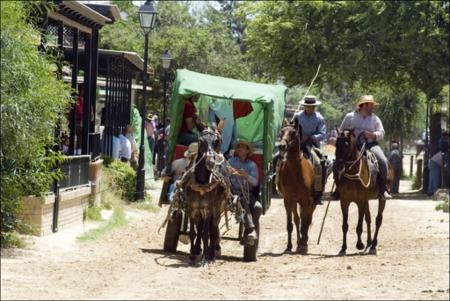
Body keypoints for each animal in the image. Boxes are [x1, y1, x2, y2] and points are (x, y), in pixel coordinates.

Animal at [278, 118, 316, 253]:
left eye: (294, 132)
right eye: (282, 131)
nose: (281, 146)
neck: (295, 172)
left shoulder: (305, 200)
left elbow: (305, 221)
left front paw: (304, 244)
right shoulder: (287, 199)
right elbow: (291, 224)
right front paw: (289, 246)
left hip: (310, 201)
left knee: (308, 218)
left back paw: (303, 241)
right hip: (294, 201)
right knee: (297, 219)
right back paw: (299, 242)